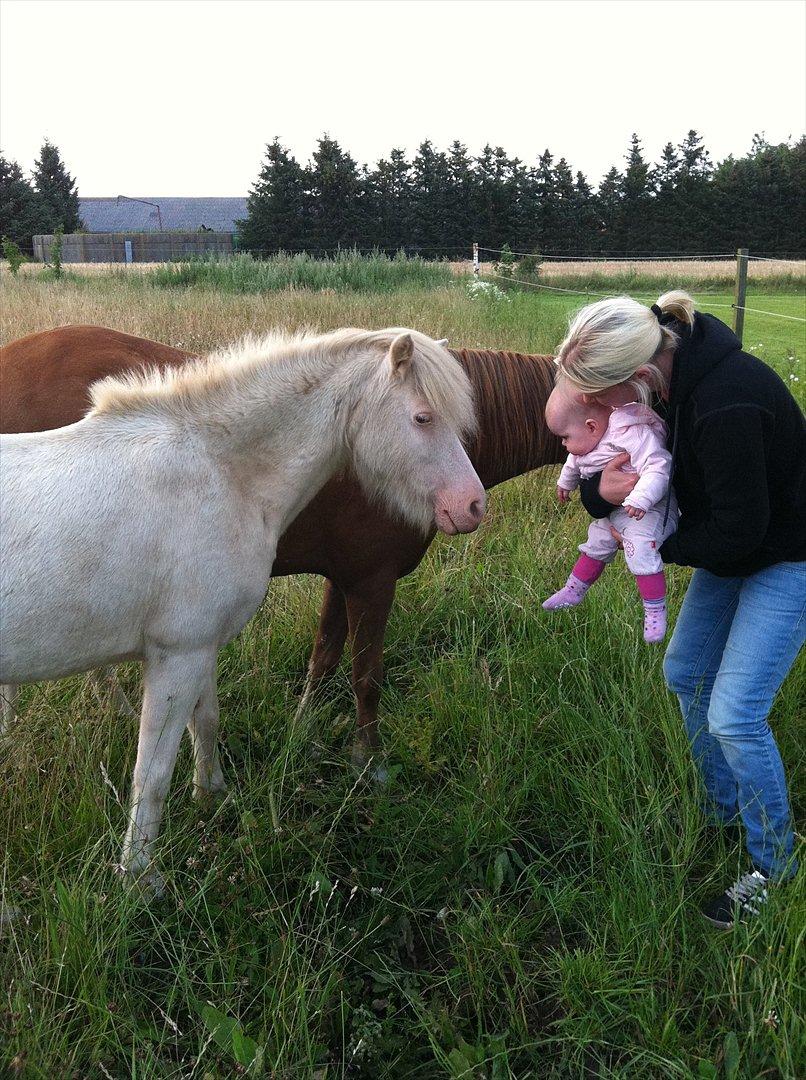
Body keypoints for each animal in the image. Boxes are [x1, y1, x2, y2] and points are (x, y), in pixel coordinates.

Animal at [0, 326, 561, 760]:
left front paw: (303, 727)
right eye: (424, 418)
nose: (471, 507)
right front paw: (368, 762)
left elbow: (324, 660)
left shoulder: (344, 577)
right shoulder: (371, 581)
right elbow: (366, 676)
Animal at [0, 328, 484, 885]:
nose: (473, 506)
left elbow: (205, 723)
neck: (218, 471)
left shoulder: (200, 648)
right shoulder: (177, 654)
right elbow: (152, 773)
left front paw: (212, 795)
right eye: (423, 417)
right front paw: (140, 878)